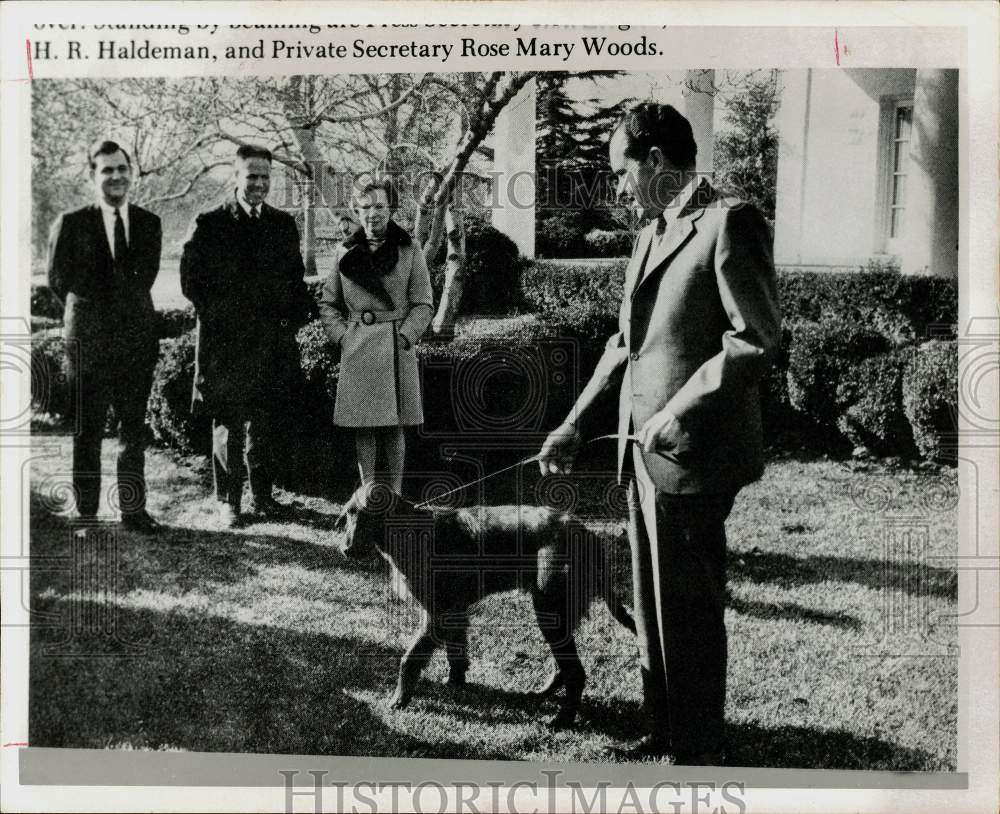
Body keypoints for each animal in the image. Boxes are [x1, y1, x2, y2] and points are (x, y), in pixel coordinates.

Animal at [334, 488, 632, 728]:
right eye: (348, 515)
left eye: (368, 516)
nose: (347, 550)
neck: (413, 531)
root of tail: (587, 533)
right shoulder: (453, 612)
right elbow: (456, 651)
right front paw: (456, 681)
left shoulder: (438, 614)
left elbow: (409, 659)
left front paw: (399, 699)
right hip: (556, 614)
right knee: (564, 667)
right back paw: (543, 694)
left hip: (550, 611)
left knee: (576, 673)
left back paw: (563, 719)